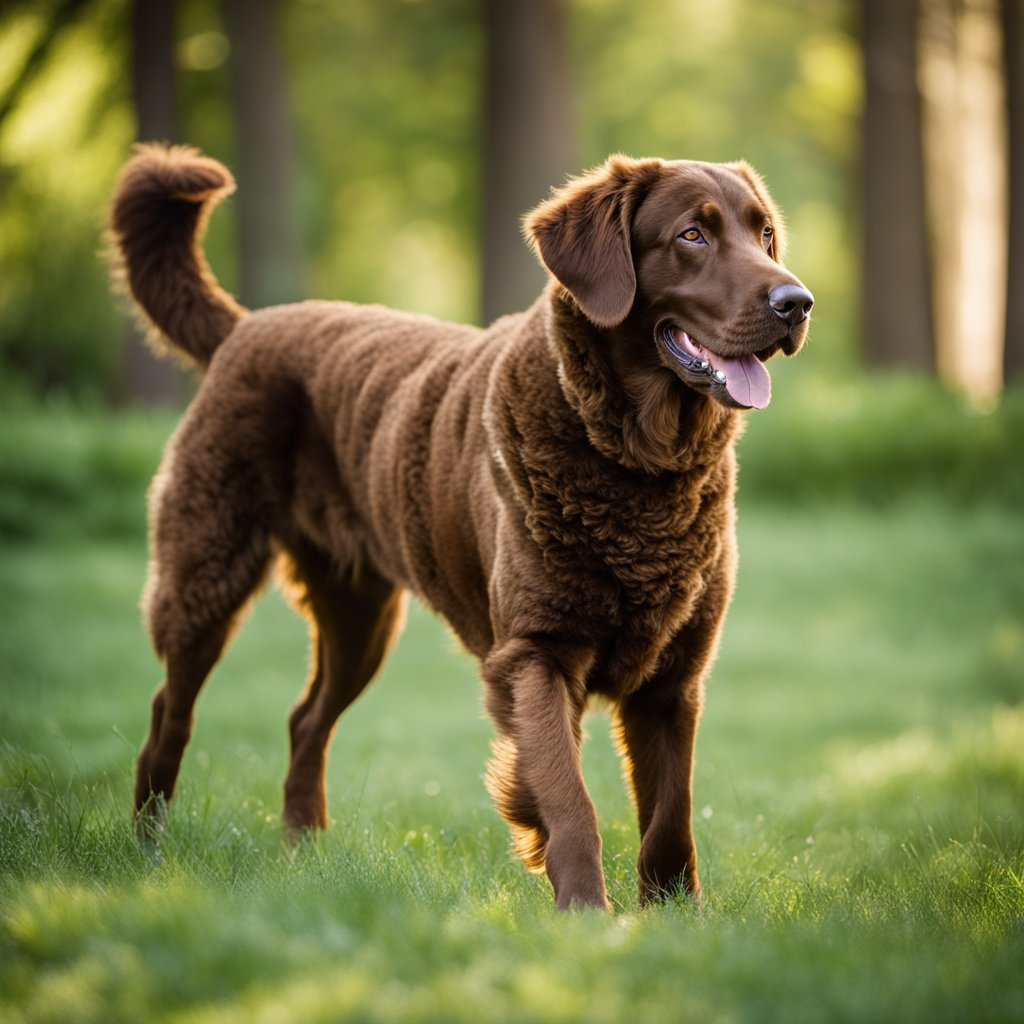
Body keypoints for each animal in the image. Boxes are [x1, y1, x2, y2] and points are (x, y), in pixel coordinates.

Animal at [110, 140, 815, 909]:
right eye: (692, 235)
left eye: (764, 234)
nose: (797, 302)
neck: (638, 463)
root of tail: (247, 325)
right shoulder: (535, 652)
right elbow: (570, 800)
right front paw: (584, 911)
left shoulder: (675, 677)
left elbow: (670, 816)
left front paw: (674, 916)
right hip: (207, 572)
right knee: (168, 714)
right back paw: (147, 849)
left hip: (360, 618)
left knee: (305, 721)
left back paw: (302, 853)